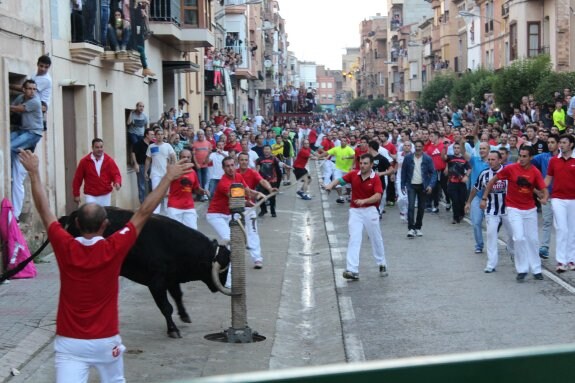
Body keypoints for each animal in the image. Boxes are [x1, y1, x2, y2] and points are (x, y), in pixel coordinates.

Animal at [60, 207, 232, 340]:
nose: (221, 285)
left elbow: (178, 295)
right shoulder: (156, 283)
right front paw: (173, 330)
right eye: (222, 268)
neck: (173, 244)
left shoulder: (172, 278)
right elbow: (166, 307)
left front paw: (184, 315)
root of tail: (73, 215)